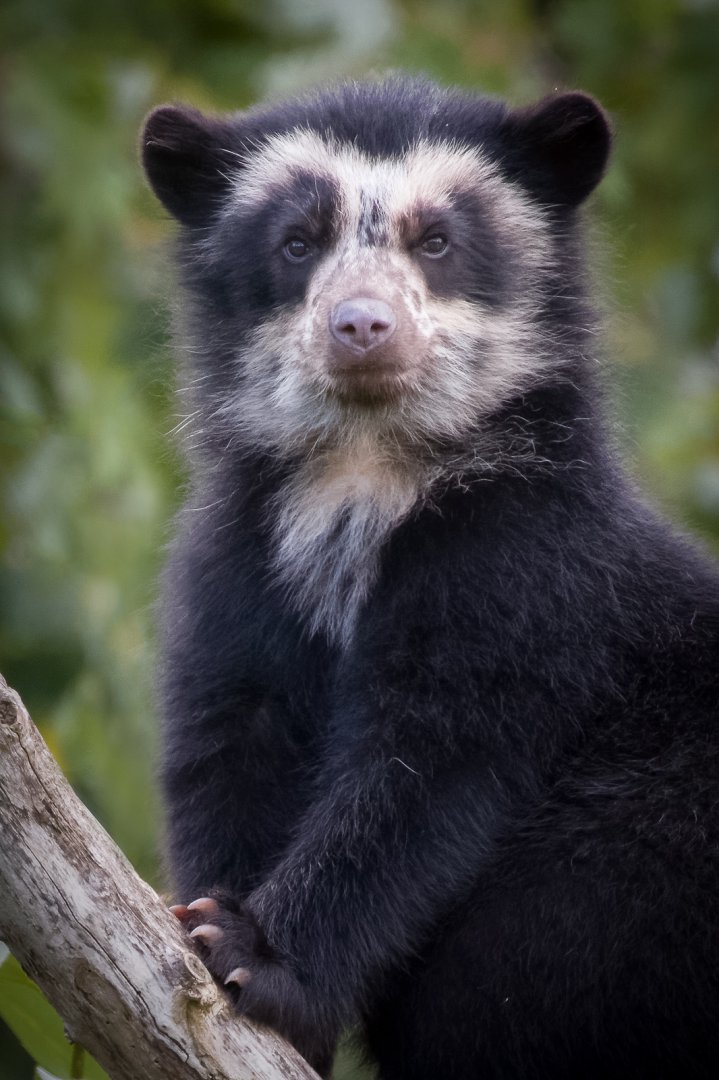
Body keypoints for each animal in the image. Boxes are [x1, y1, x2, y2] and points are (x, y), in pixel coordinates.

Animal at [141, 75, 719, 1079]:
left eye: (437, 241)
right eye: (298, 242)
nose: (361, 327)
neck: (365, 478)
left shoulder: (525, 569)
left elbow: (426, 767)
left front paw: (257, 958)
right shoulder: (244, 560)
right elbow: (229, 741)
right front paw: (210, 925)